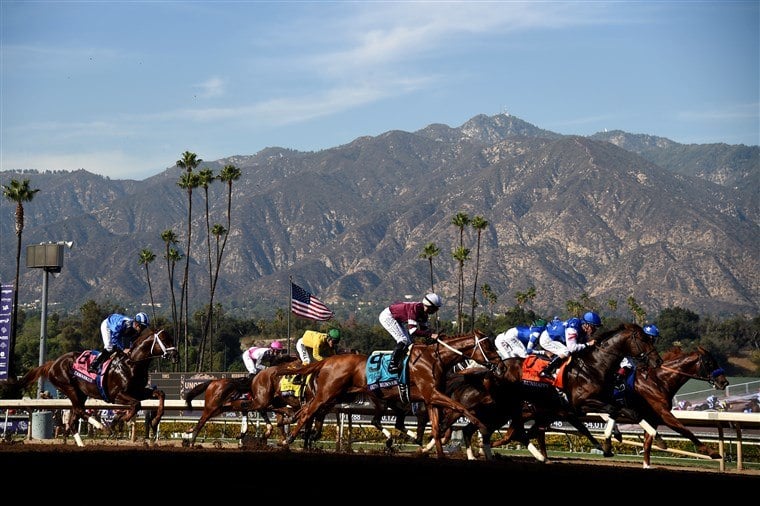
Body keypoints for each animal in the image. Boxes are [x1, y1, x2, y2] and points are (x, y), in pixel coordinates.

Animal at [16, 324, 178, 446]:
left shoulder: (138, 391)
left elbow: (160, 394)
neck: (131, 363)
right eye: (164, 339)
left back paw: (82, 443)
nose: (175, 355)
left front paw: (155, 420)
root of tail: (54, 363)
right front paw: (120, 419)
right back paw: (102, 427)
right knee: (80, 411)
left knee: (73, 419)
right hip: (69, 387)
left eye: (171, 338)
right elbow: (136, 405)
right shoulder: (116, 395)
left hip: (80, 393)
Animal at [280, 332, 504, 458]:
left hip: (342, 397)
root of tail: (327, 361)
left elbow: (437, 428)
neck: (434, 359)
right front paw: (483, 426)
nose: (500, 365)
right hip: (327, 394)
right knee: (307, 413)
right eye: (488, 346)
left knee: (310, 412)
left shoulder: (430, 399)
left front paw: (434, 451)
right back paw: (288, 440)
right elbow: (460, 407)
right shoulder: (432, 394)